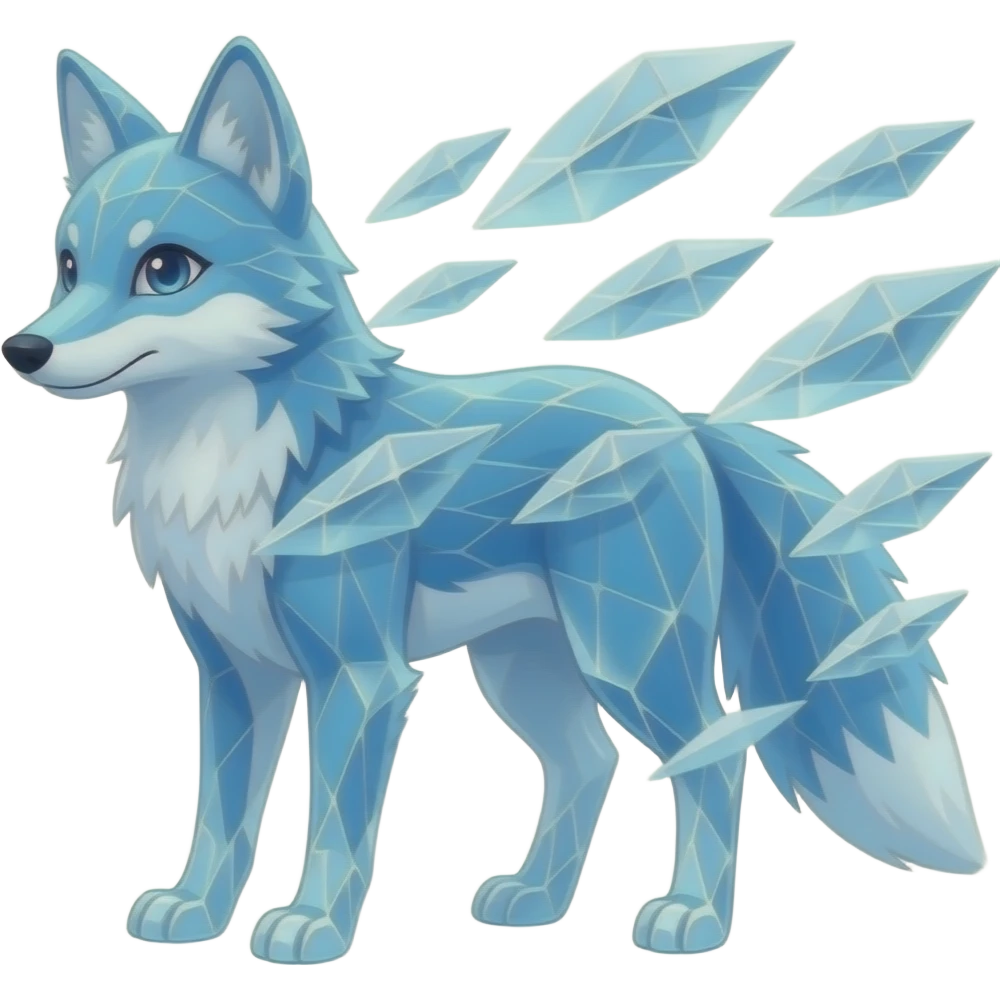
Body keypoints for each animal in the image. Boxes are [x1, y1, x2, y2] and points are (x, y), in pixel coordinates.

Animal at [3, 35, 988, 966]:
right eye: (68, 266)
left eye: (166, 270)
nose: (24, 350)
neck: (241, 461)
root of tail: (682, 421)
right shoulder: (232, 674)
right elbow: (220, 819)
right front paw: (197, 913)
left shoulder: (361, 677)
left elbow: (332, 828)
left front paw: (312, 926)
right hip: (524, 670)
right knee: (591, 763)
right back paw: (536, 900)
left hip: (631, 660)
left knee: (716, 755)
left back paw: (694, 918)